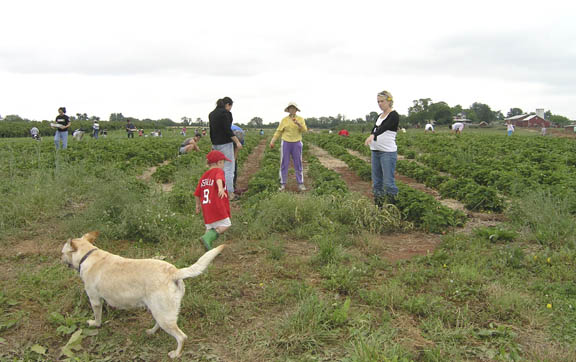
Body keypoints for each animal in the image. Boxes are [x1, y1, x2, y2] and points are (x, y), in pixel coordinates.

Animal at [62, 232, 224, 360]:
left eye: (62, 252)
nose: (59, 259)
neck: (88, 255)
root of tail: (174, 272)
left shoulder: (94, 300)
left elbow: (97, 317)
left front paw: (95, 324)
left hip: (163, 316)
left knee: (181, 337)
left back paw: (176, 354)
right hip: (159, 311)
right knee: (160, 325)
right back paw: (151, 332)